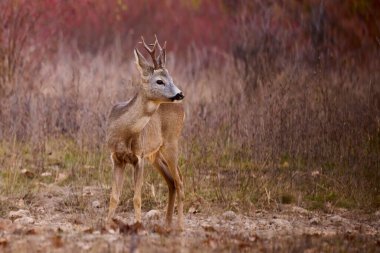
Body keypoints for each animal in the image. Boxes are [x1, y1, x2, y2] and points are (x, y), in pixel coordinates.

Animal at [105, 36, 186, 230]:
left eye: (171, 78)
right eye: (159, 81)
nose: (180, 94)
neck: (122, 133)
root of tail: (182, 108)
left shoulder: (139, 157)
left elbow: (137, 197)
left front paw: (138, 225)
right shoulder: (115, 157)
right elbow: (114, 197)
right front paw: (107, 224)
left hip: (171, 143)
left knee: (179, 182)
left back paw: (179, 226)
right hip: (155, 154)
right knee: (171, 181)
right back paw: (166, 224)